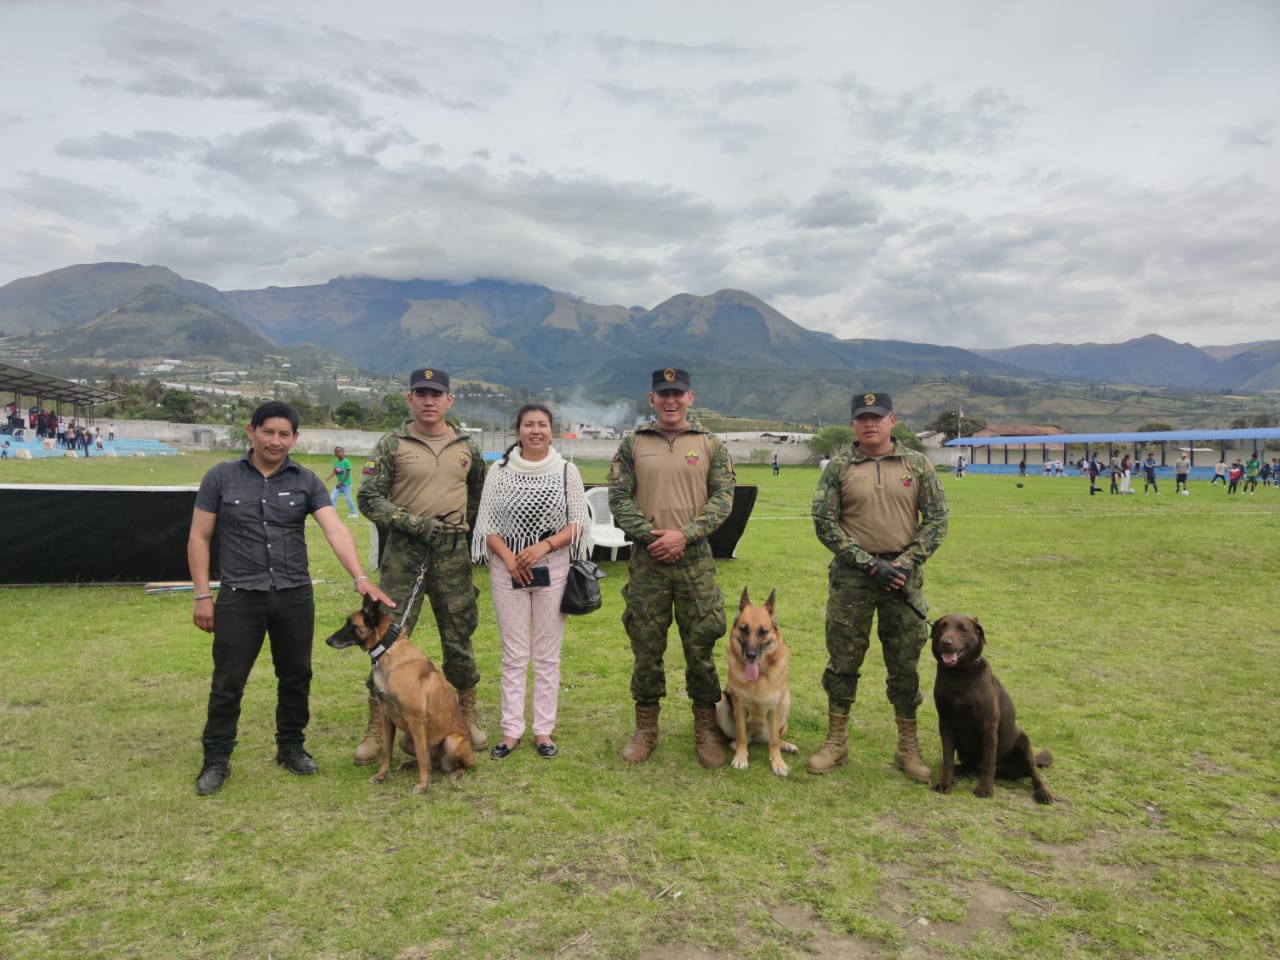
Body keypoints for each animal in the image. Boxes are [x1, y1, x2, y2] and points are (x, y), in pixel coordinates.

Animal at [326, 595, 474, 795]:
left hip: (451, 741)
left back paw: (456, 773)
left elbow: (422, 758)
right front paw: (381, 775)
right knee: (430, 761)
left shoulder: (416, 719)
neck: (388, 650)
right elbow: (387, 751)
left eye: (351, 625)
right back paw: (410, 764)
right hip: (406, 740)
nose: (327, 640)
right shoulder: (386, 717)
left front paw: (423, 785)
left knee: (458, 764)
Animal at [715, 587, 796, 776]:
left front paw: (778, 762)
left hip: (786, 703)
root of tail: (758, 738)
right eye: (744, 629)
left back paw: (786, 746)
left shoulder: (775, 708)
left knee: (774, 738)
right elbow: (742, 736)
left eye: (763, 631)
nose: (750, 655)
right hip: (721, 704)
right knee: (740, 738)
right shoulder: (739, 706)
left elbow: (774, 741)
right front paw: (740, 758)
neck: (758, 678)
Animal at [930, 613, 1054, 804]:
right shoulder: (946, 724)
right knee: (972, 765)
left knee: (1033, 774)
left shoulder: (988, 727)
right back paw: (960, 770)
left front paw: (985, 788)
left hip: (1024, 743)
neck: (959, 674)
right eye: (941, 627)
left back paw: (1043, 792)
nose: (946, 642)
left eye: (962, 628)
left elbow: (989, 761)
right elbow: (947, 759)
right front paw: (945, 782)